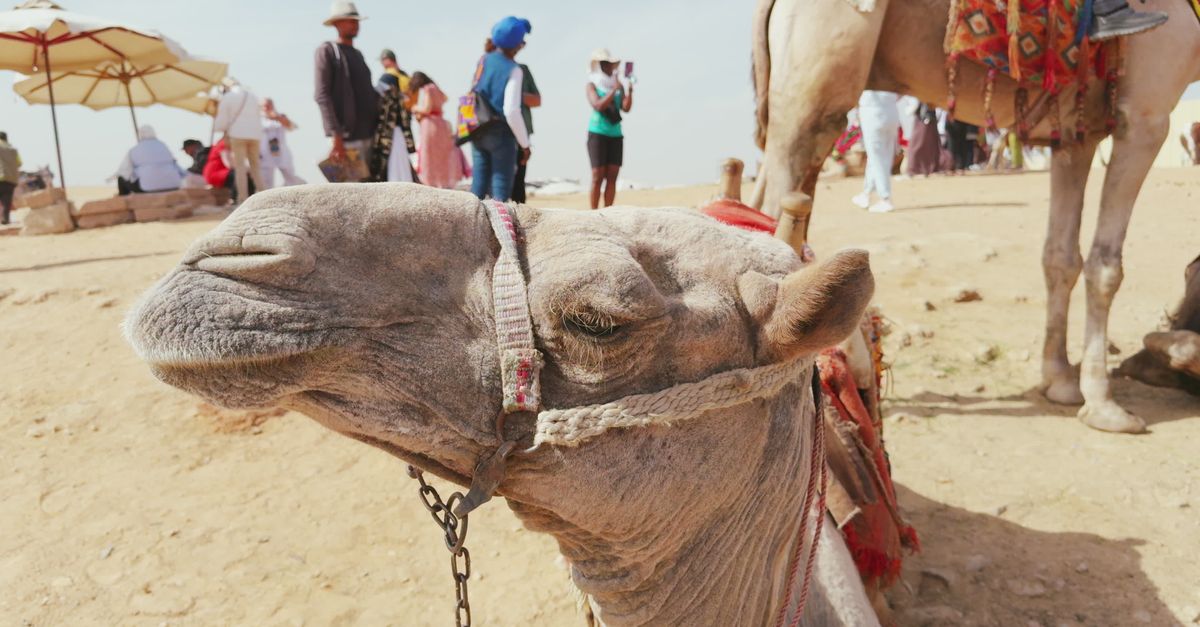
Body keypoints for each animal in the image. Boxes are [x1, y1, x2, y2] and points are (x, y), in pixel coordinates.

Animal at [750, 0, 1200, 433]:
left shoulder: (1075, 134)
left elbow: (1060, 258)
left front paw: (1060, 381)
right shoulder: (1144, 114)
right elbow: (1105, 268)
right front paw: (1104, 406)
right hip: (818, 77)